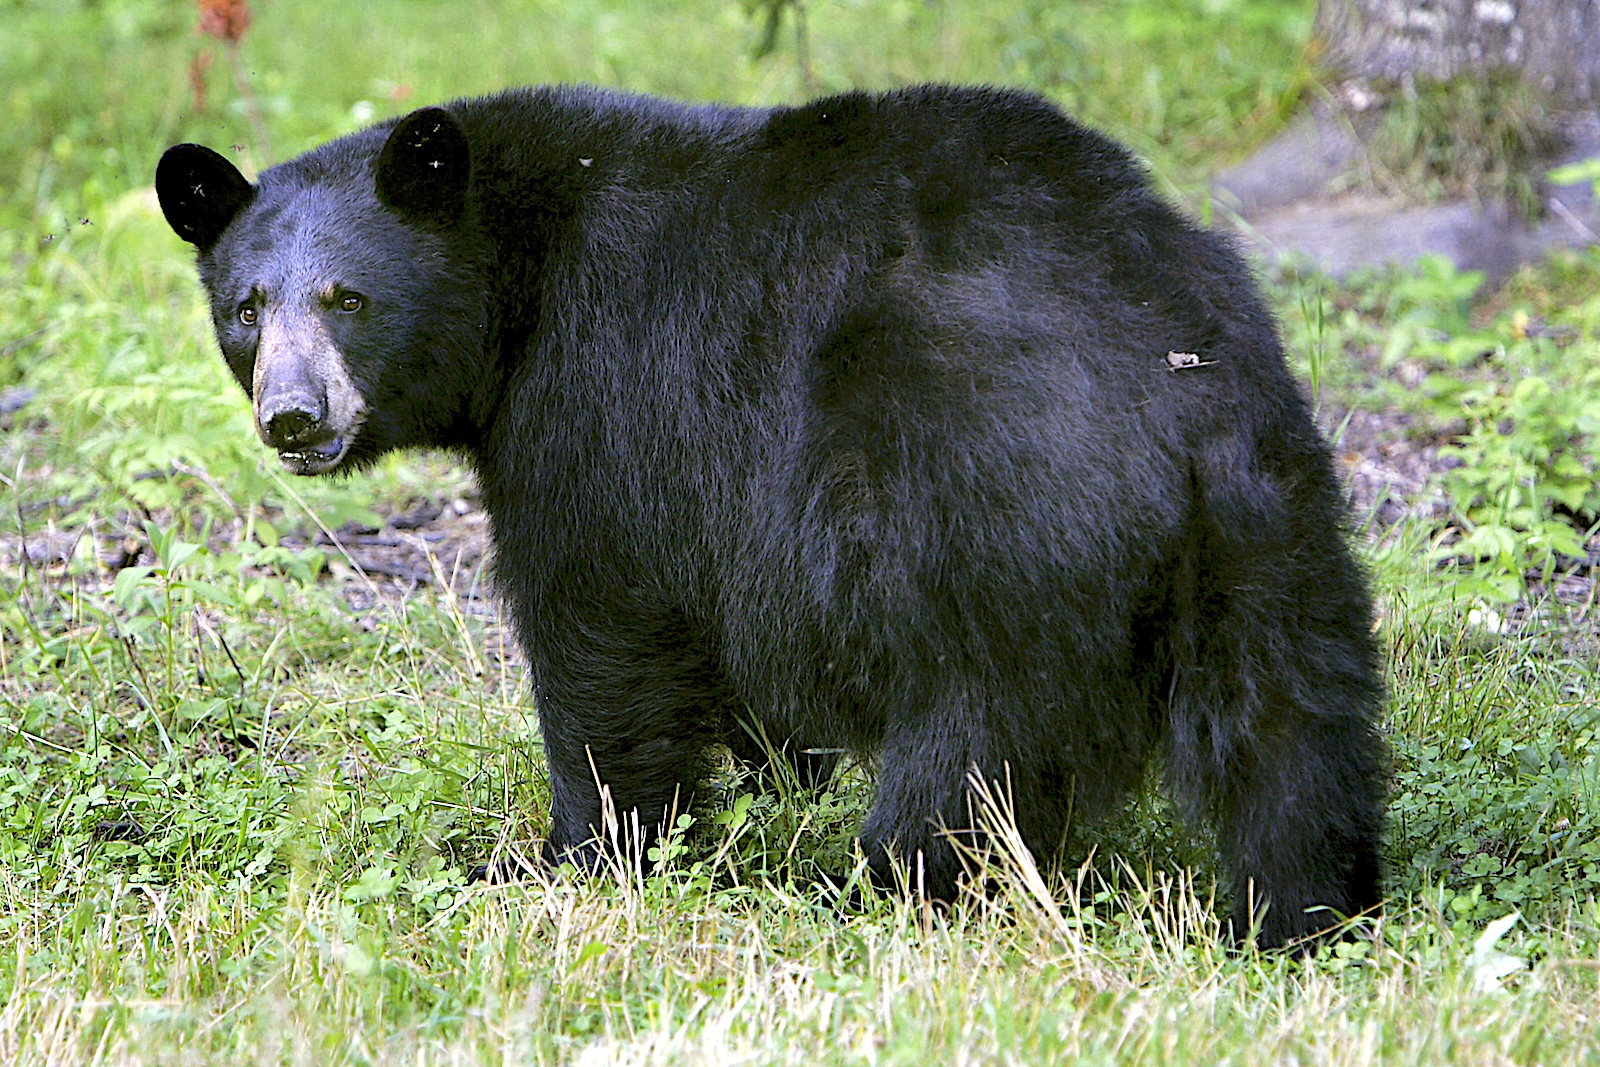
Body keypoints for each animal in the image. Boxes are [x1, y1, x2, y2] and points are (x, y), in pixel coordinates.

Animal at [156, 83, 1387, 949]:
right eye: (246, 308)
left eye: (348, 298)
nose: (294, 415)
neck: (517, 283)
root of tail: (1165, 382)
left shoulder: (600, 405)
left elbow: (599, 633)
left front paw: (572, 856)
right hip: (1269, 520)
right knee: (1293, 730)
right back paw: (1303, 914)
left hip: (991, 520)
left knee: (973, 749)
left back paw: (880, 888)